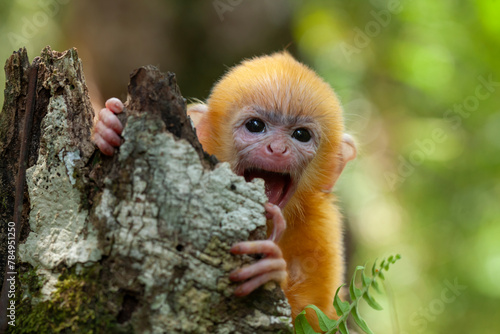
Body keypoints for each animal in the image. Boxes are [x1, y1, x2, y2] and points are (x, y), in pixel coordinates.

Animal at [93, 52, 356, 326]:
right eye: (255, 125)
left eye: (301, 135)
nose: (278, 149)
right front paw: (106, 127)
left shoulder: (323, 225)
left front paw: (272, 268)